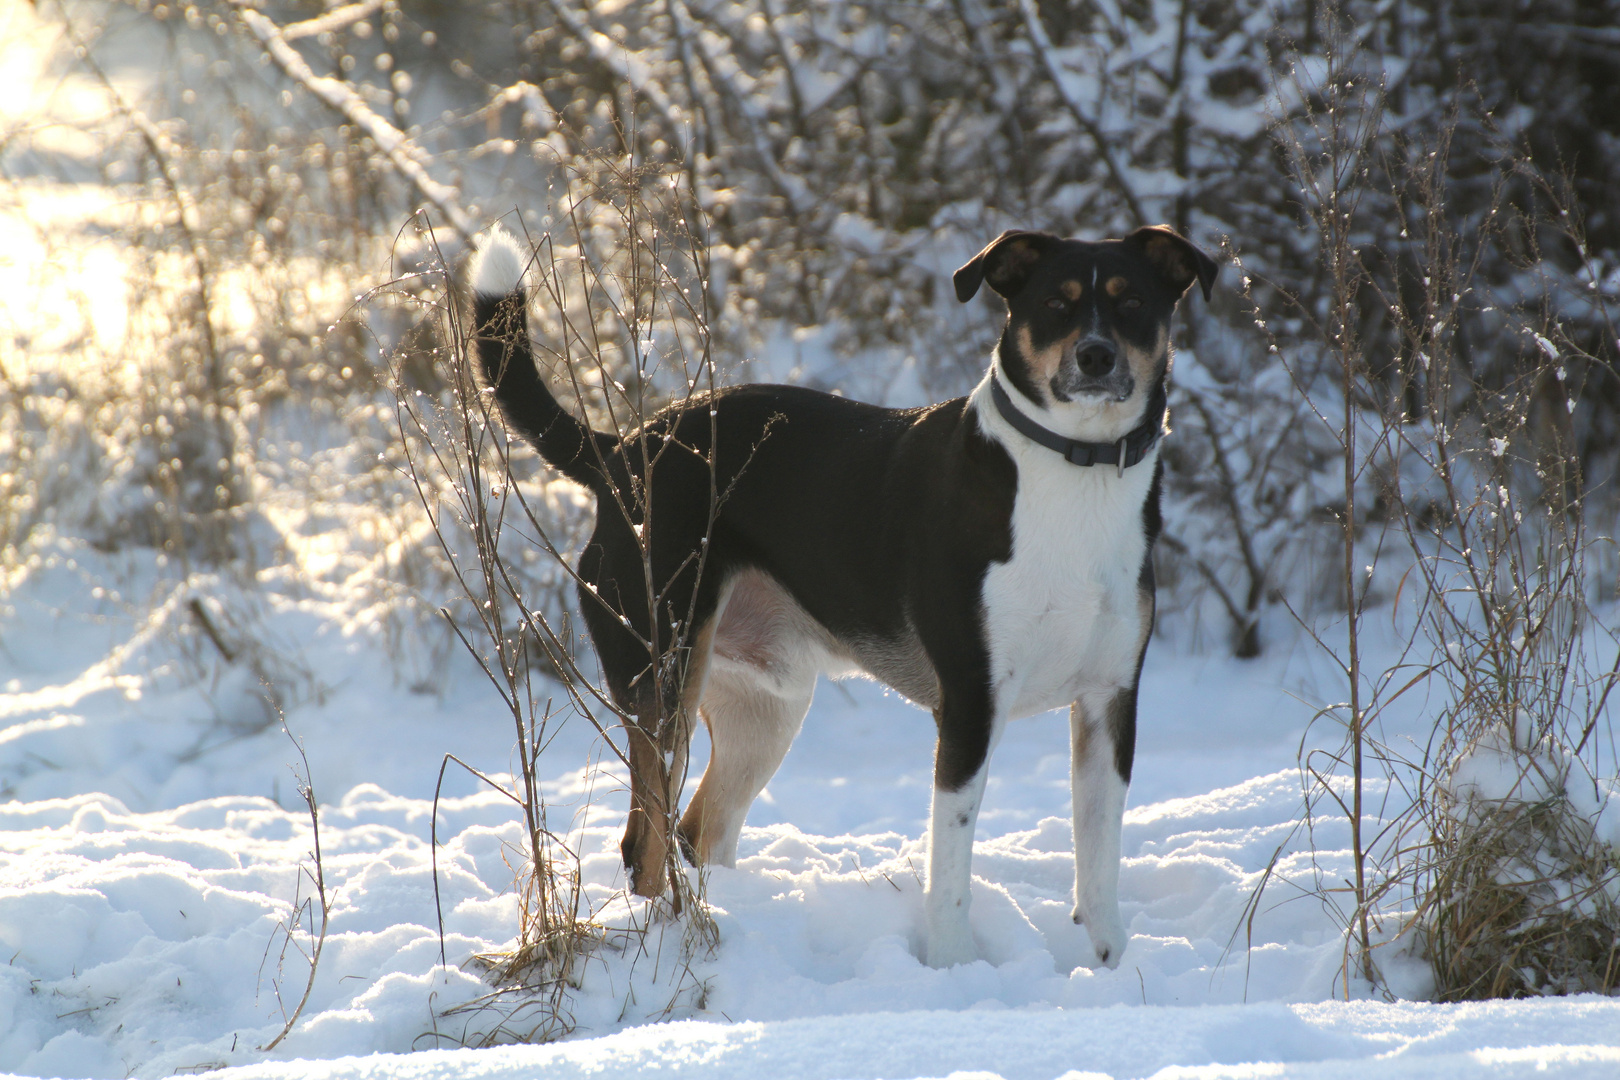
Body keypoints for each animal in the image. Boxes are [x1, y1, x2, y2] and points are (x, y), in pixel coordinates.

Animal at [469, 223, 1218, 965]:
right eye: (1056, 304)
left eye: (1131, 304)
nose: (1095, 357)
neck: (1072, 476)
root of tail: (622, 450)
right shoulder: (971, 705)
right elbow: (951, 868)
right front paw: (953, 966)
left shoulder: (1108, 701)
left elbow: (1099, 859)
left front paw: (1111, 967)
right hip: (664, 681)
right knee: (645, 842)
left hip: (766, 708)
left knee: (698, 829)